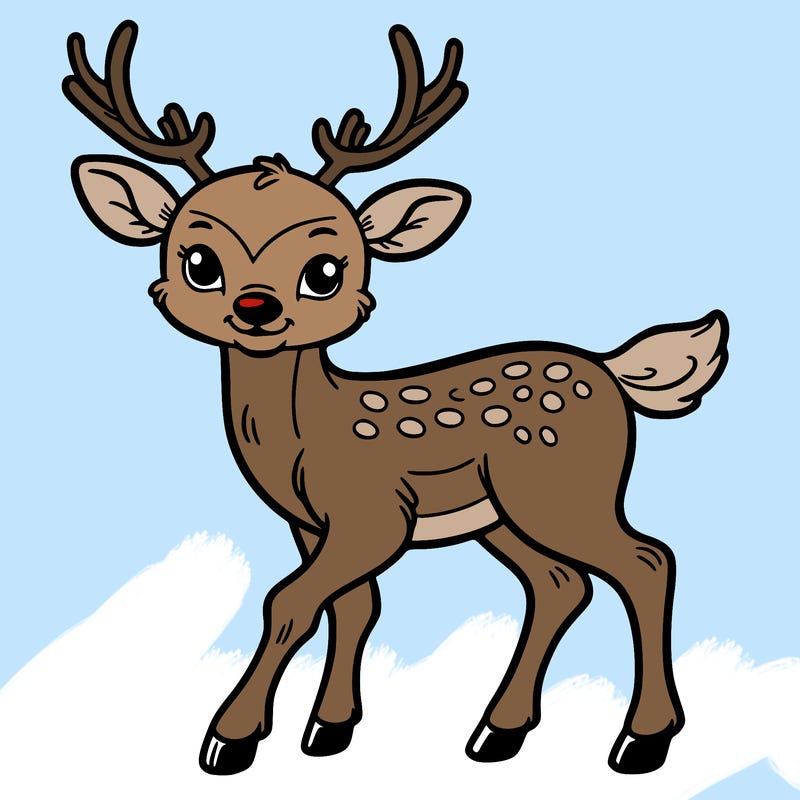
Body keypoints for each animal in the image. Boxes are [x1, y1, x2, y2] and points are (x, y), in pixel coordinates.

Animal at [63, 20, 728, 777]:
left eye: (325, 270)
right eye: (199, 262)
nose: (257, 308)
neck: (307, 438)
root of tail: (614, 371)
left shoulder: (372, 513)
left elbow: (289, 601)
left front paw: (230, 739)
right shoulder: (313, 524)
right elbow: (354, 605)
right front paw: (328, 730)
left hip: (563, 489)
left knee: (647, 560)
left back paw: (641, 741)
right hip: (504, 514)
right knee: (562, 583)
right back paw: (497, 732)